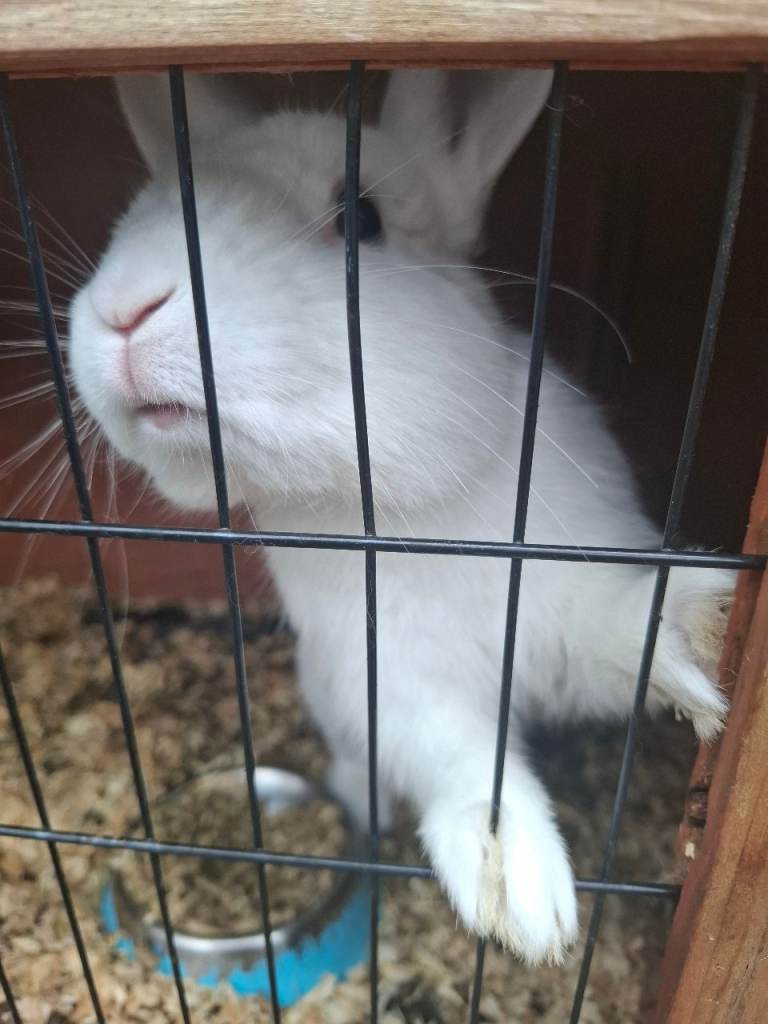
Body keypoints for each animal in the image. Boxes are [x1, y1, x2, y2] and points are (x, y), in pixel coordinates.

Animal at [68, 68, 732, 965]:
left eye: (361, 218)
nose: (123, 310)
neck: (408, 511)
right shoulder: (391, 682)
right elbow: (463, 764)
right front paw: (519, 893)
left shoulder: (574, 597)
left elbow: (625, 632)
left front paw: (712, 623)